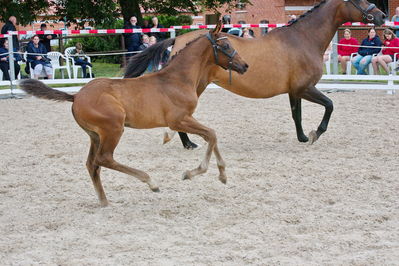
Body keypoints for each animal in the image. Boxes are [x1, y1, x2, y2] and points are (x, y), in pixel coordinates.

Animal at [21, 22, 250, 207]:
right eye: (226, 46)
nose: (245, 65)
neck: (177, 79)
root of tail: (76, 96)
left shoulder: (186, 119)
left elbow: (211, 135)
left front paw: (223, 175)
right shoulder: (178, 121)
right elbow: (211, 134)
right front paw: (192, 173)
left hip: (95, 135)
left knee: (92, 164)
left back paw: (104, 201)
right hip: (113, 128)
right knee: (104, 159)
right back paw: (151, 182)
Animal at [126, 0, 388, 150]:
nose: (383, 16)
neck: (303, 39)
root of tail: (178, 39)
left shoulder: (295, 91)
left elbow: (297, 115)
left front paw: (303, 137)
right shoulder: (305, 88)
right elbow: (330, 105)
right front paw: (316, 134)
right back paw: (189, 144)